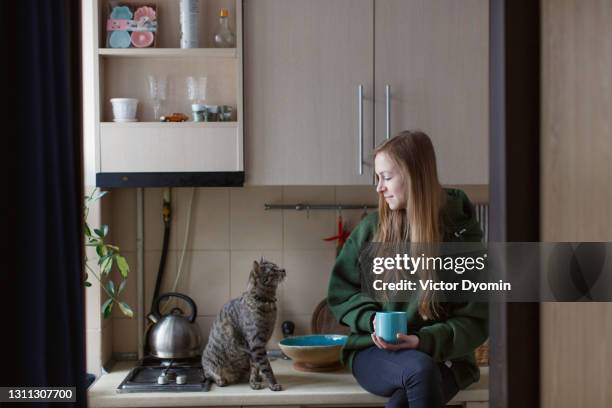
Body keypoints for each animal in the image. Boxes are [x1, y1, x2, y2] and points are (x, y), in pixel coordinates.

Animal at [202, 260, 286, 390]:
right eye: (273, 270)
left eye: (277, 267)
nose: (283, 270)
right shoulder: (256, 344)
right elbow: (266, 367)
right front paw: (273, 383)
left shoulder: (258, 347)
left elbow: (255, 367)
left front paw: (254, 381)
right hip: (209, 358)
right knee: (208, 373)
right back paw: (220, 379)